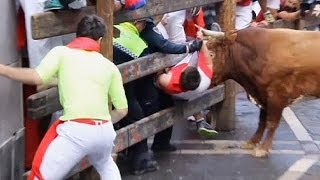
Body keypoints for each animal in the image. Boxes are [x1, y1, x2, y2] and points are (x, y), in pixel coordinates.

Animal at [205, 27, 320, 157]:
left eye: (211, 54)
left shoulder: (277, 96)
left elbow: (271, 122)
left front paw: (264, 148)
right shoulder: (262, 95)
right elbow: (262, 121)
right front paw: (252, 142)